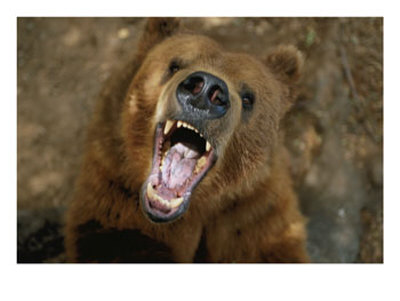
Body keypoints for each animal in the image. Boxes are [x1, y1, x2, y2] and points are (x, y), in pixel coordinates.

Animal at [65, 17, 310, 262]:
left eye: (249, 97)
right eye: (175, 65)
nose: (205, 91)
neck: (198, 205)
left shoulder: (253, 210)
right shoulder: (116, 184)